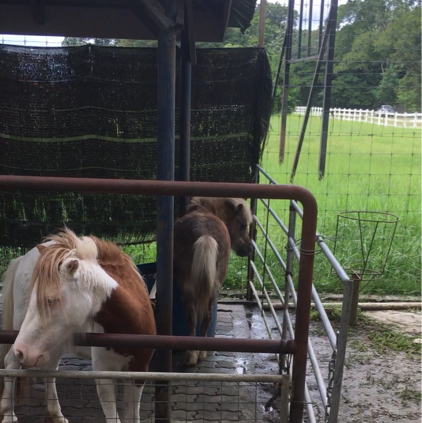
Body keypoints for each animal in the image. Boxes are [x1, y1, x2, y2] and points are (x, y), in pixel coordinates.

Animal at [174, 197, 252, 366]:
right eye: (242, 225)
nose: (249, 249)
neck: (204, 209)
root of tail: (205, 235)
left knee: (195, 316)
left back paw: (194, 354)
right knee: (203, 315)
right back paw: (197, 353)